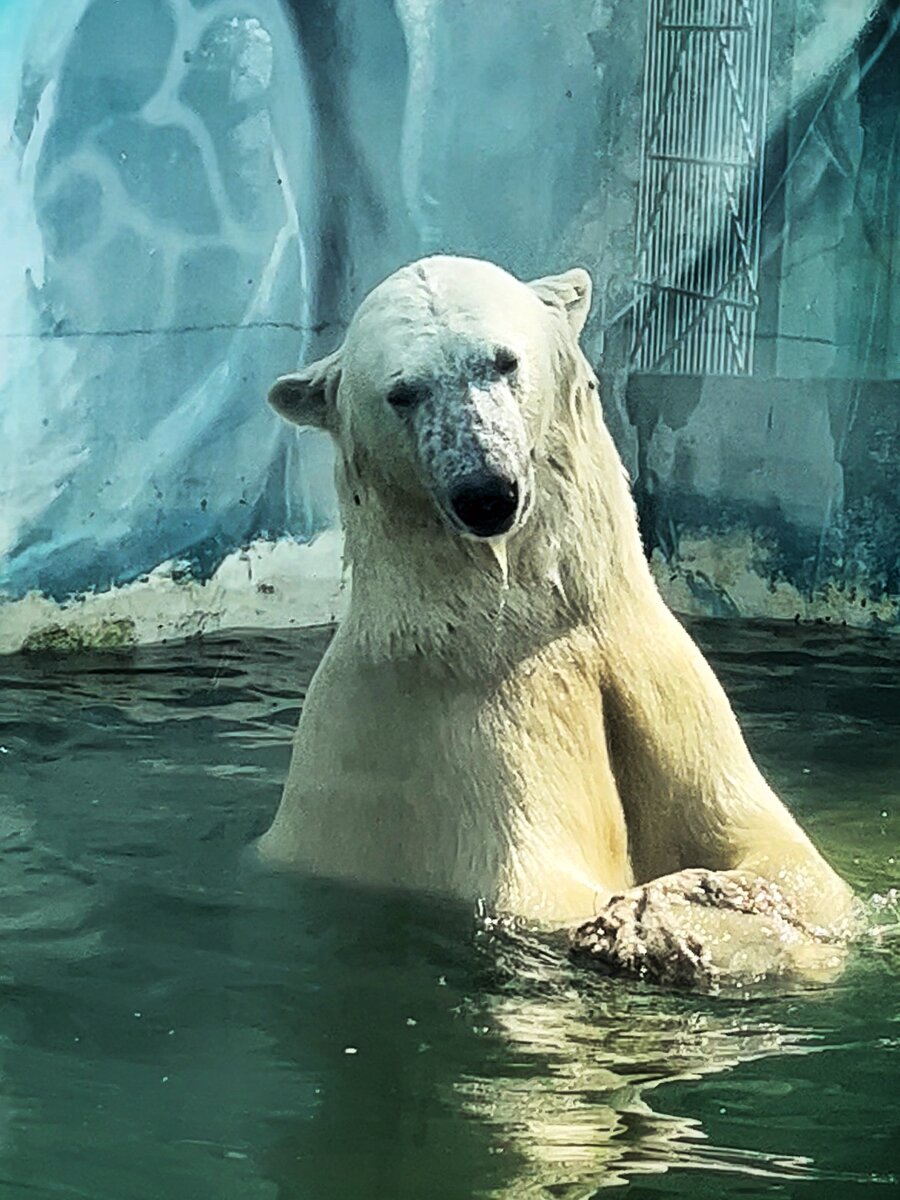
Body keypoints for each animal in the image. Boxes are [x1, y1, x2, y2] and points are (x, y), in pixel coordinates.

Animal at [262, 255, 859, 984]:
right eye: (403, 393)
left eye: (503, 360)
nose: (486, 492)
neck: (517, 627)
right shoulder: (463, 739)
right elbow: (536, 888)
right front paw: (661, 922)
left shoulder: (657, 677)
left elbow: (778, 847)